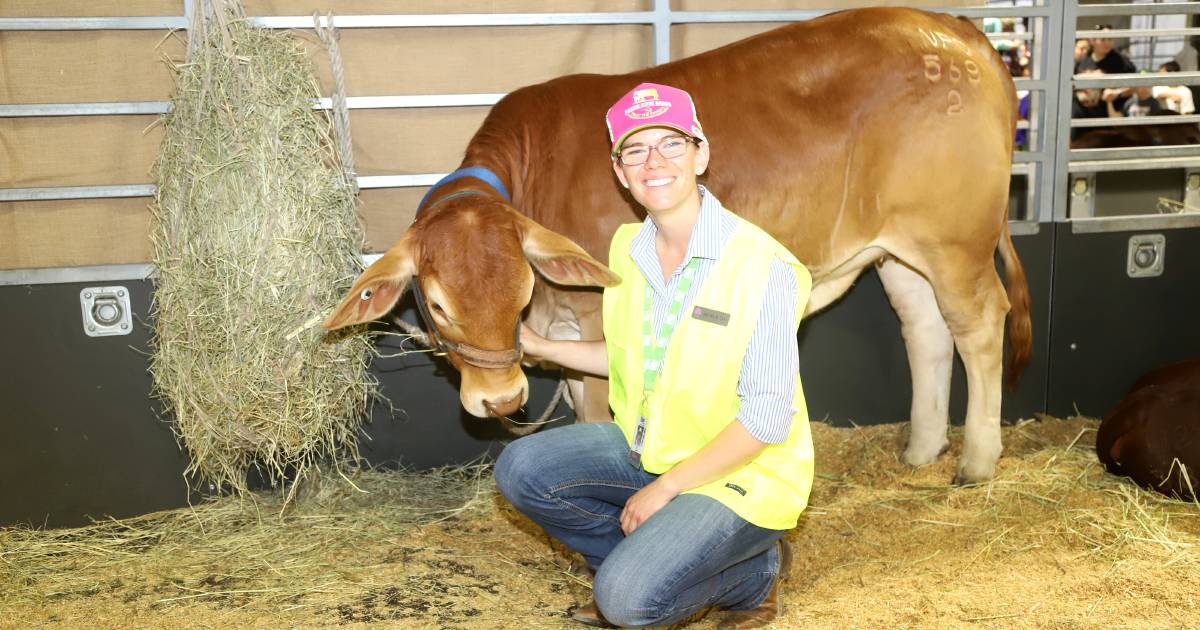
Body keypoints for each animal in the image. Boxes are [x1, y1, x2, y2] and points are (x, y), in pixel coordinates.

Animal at [326, 6, 1032, 482]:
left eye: (523, 286)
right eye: (440, 304)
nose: (499, 400)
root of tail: (953, 27)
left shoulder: (594, 319)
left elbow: (596, 409)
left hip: (956, 241)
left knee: (977, 325)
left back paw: (976, 459)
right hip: (899, 250)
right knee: (925, 328)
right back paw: (920, 448)